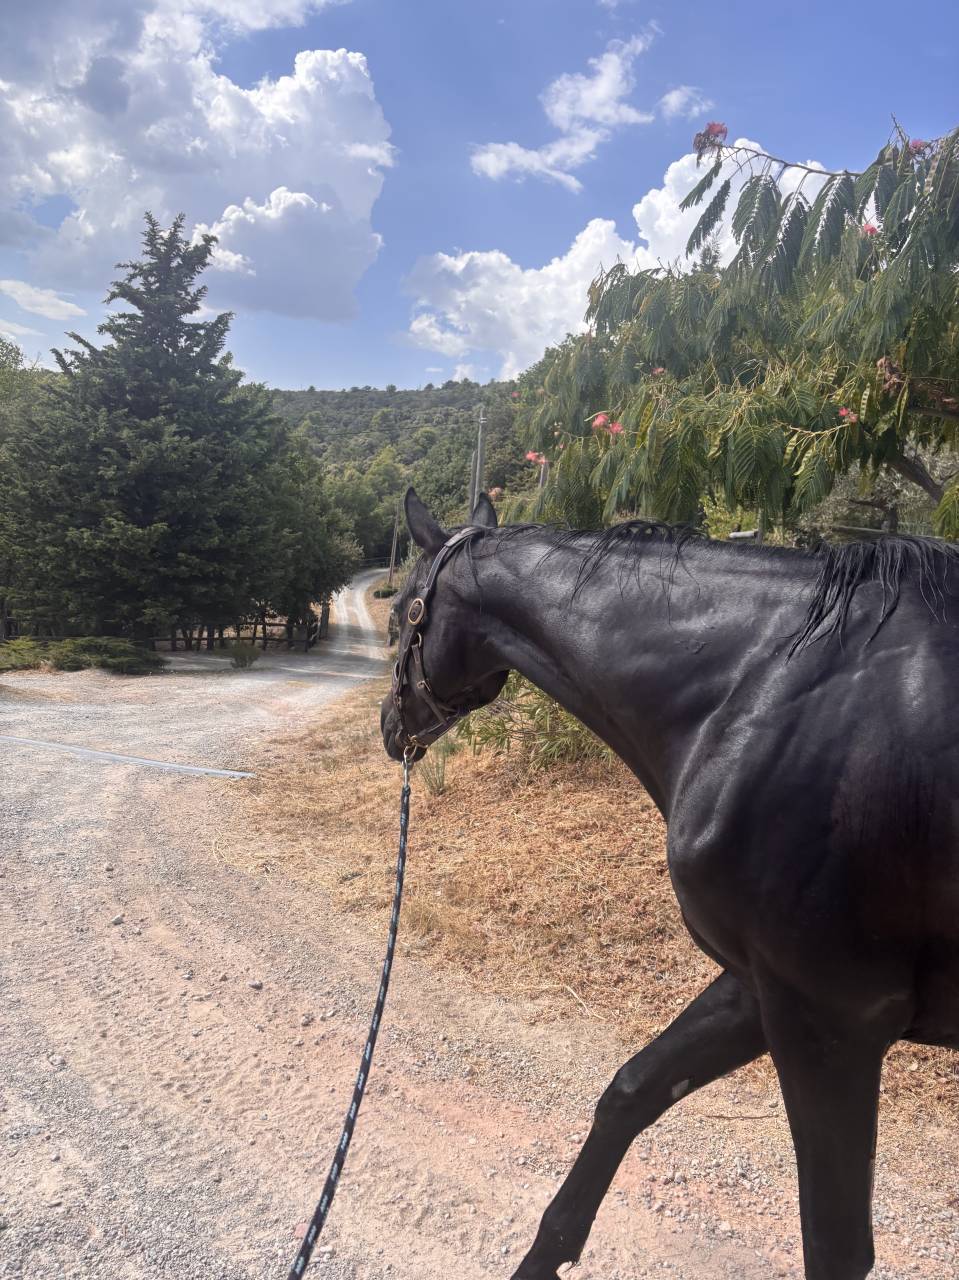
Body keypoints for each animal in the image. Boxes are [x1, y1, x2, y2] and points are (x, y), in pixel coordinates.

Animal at [380, 487, 959, 1280]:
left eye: (398, 614)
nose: (389, 727)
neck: (758, 690)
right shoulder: (759, 986)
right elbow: (631, 1090)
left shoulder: (830, 1019)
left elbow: (834, 1244)